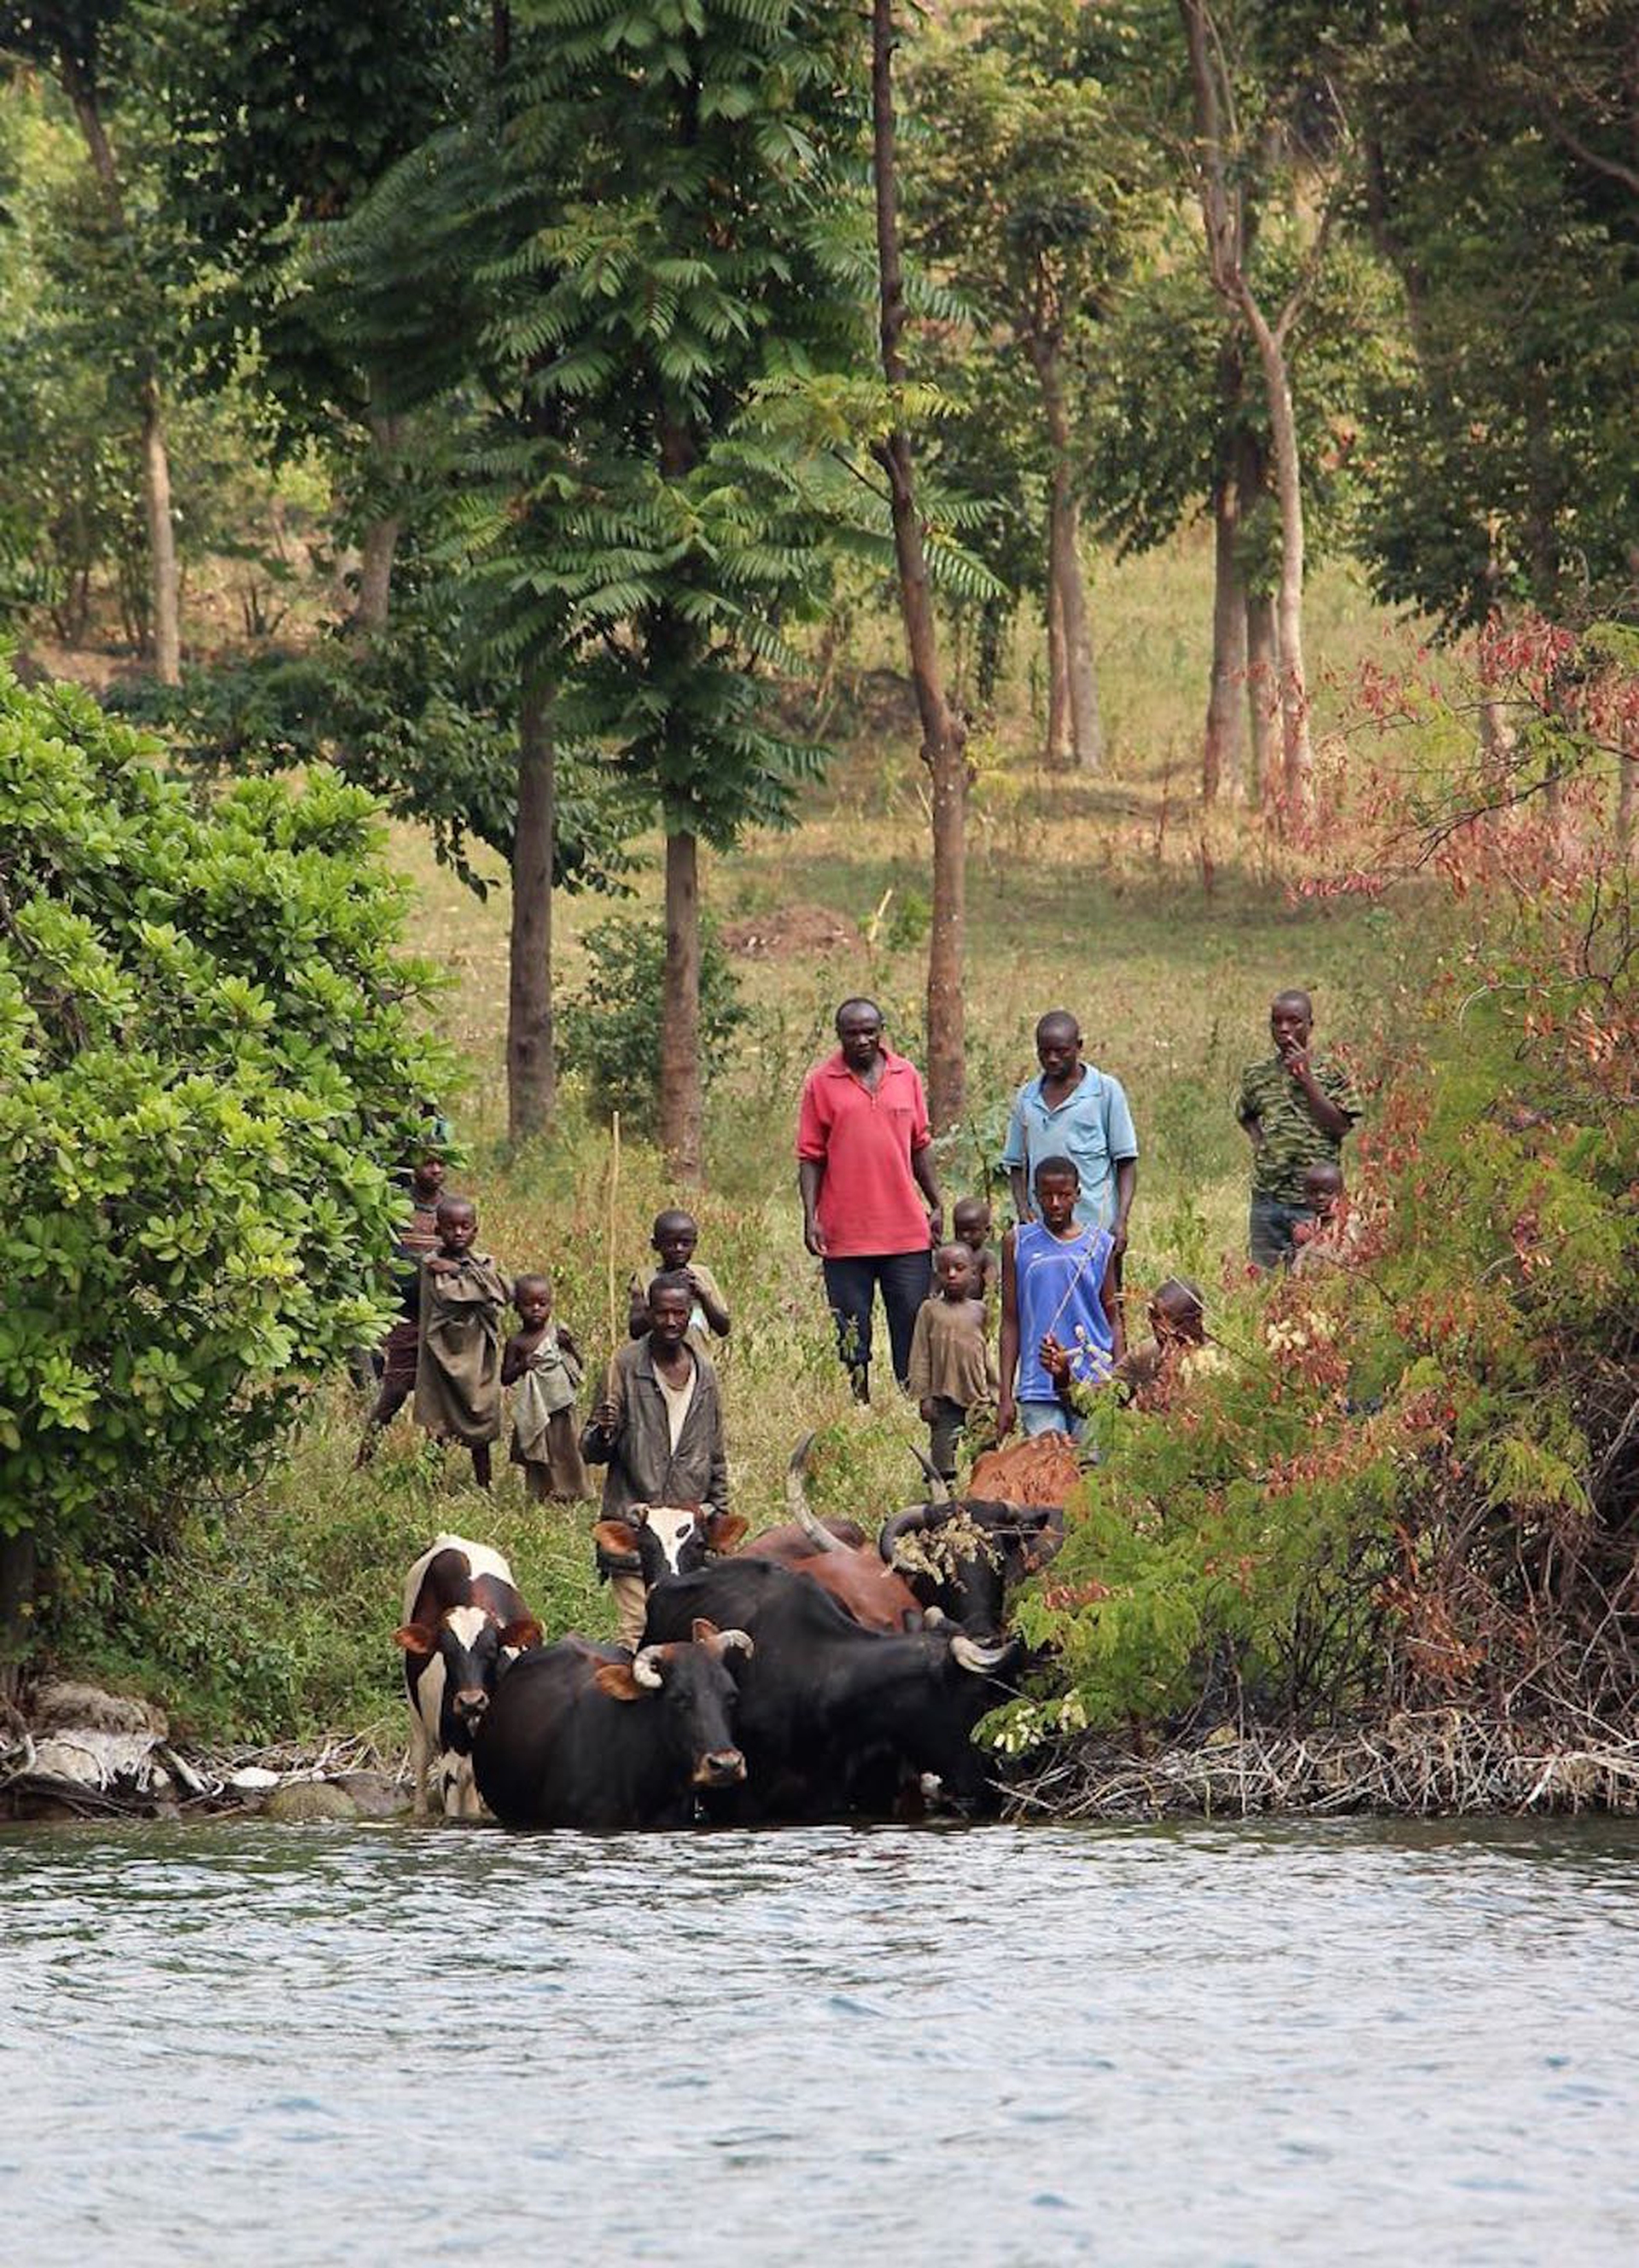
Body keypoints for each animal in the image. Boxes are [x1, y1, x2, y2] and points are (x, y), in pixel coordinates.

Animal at [394, 1535, 543, 1820]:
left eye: (492, 1649)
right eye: (445, 1651)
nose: (471, 1701)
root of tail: (449, 1538)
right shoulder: (451, 1765)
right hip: (416, 1713)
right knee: (421, 1760)